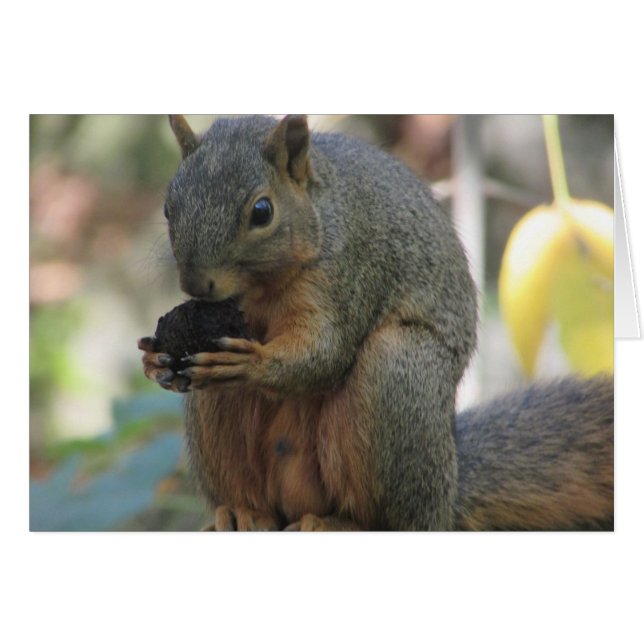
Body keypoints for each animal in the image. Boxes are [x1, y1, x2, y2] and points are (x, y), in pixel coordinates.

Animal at [138, 114, 613, 531]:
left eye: (262, 211)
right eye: (168, 207)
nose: (195, 284)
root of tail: (448, 491)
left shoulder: (349, 272)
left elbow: (323, 353)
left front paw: (251, 364)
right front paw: (154, 361)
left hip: (397, 377)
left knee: (391, 520)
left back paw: (339, 524)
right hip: (214, 417)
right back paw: (243, 514)